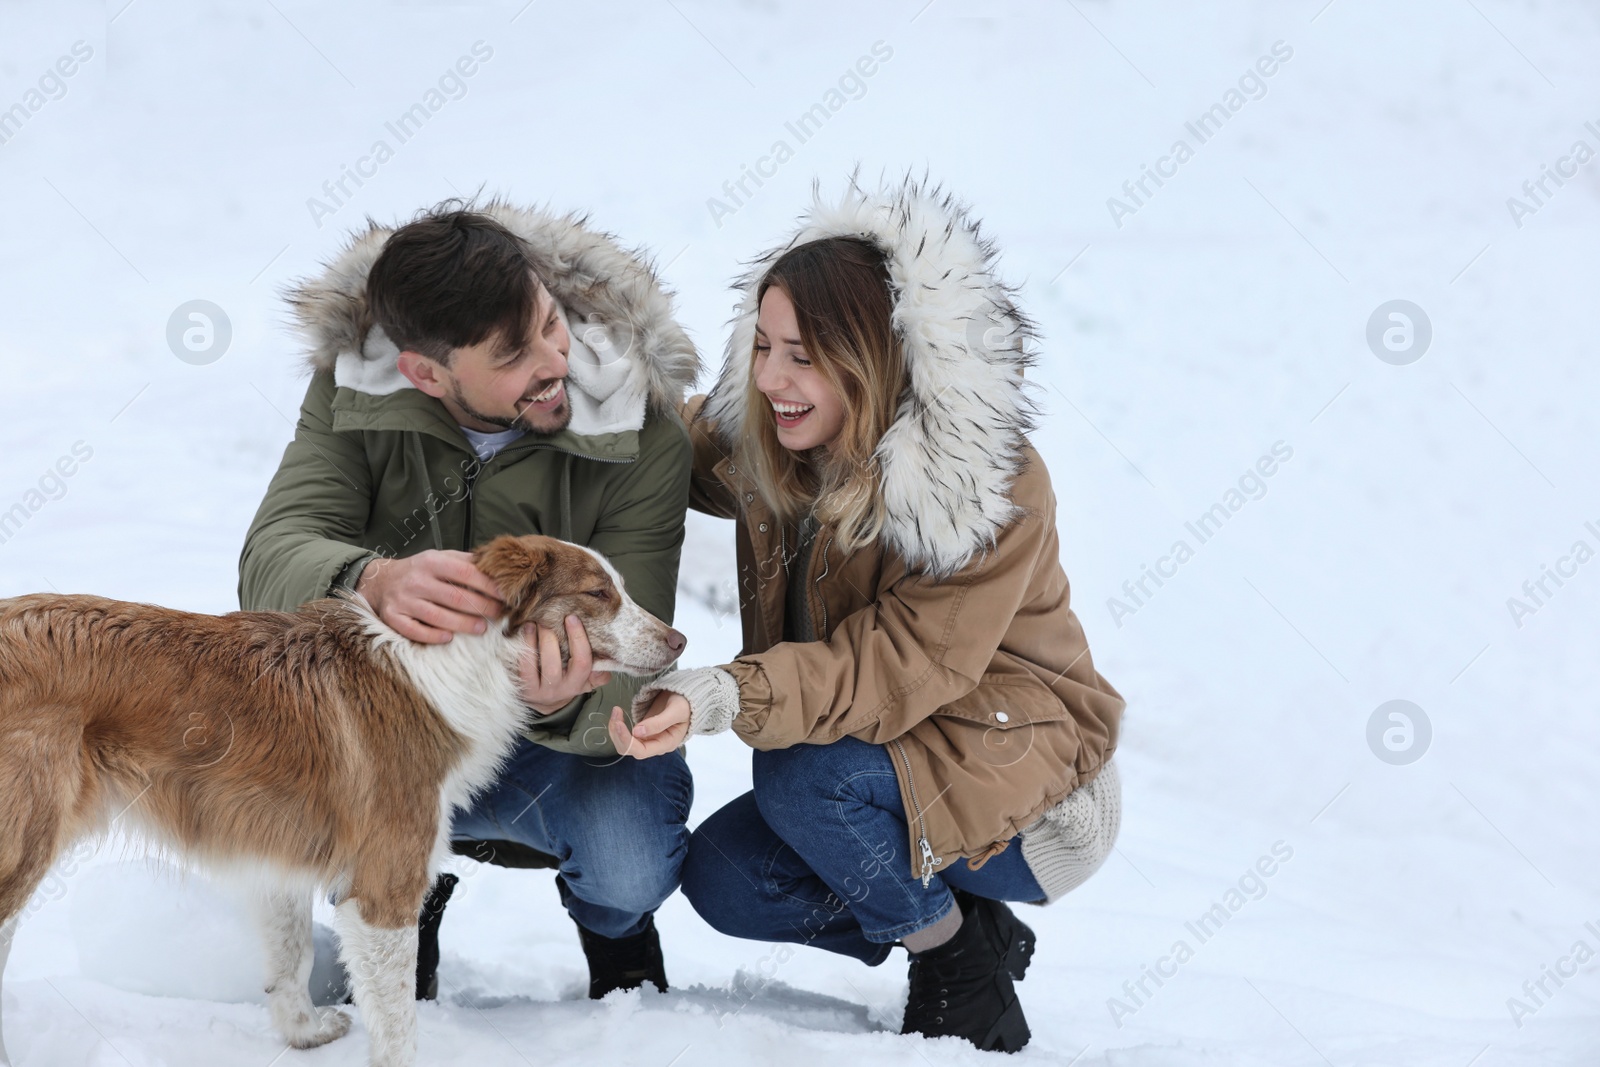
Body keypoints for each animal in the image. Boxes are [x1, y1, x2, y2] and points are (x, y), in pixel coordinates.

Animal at [0, 537, 681, 1067]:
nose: (679, 640)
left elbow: (292, 957)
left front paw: (302, 1035)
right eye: (598, 593)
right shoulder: (384, 889)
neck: (461, 661)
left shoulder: (276, 854)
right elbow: (399, 1023)